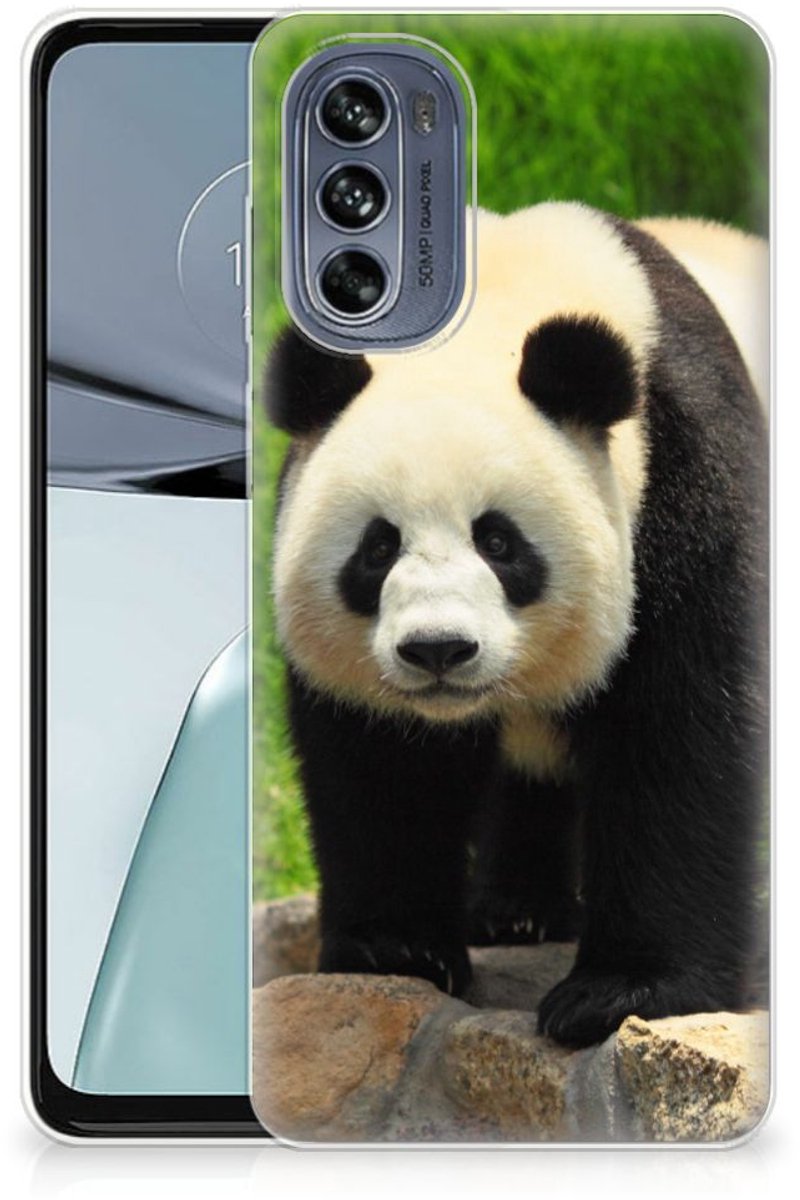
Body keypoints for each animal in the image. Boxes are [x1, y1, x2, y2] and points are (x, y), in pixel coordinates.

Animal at [263, 202, 768, 1049]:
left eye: (498, 542)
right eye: (377, 547)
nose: (438, 650)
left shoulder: (688, 476)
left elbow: (682, 732)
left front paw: (621, 993)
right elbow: (382, 762)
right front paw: (396, 950)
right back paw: (516, 912)